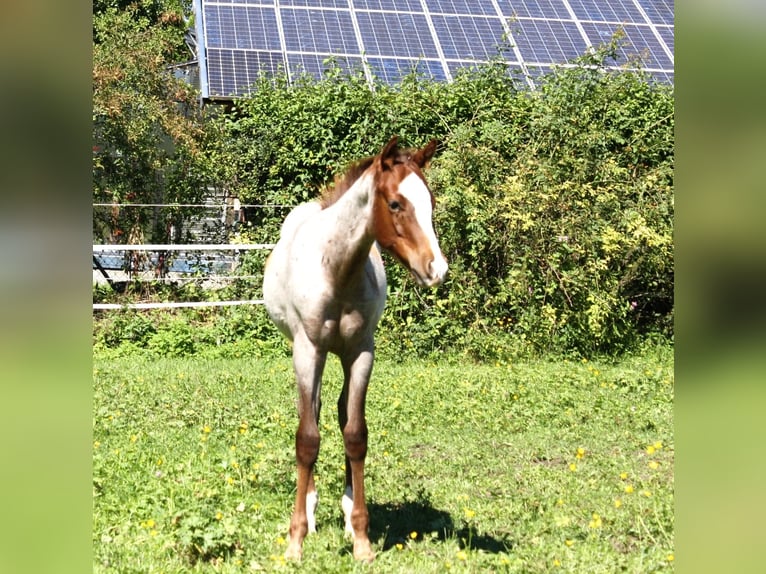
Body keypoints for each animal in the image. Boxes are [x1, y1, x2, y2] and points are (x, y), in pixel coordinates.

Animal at [262, 136, 448, 561]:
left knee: (341, 411)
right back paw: (311, 511)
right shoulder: (308, 350)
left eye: (431, 201)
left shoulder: (362, 352)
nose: (437, 269)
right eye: (395, 203)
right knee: (312, 412)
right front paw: (296, 540)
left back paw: (346, 514)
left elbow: (356, 433)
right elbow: (307, 438)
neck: (337, 270)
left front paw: (362, 539)